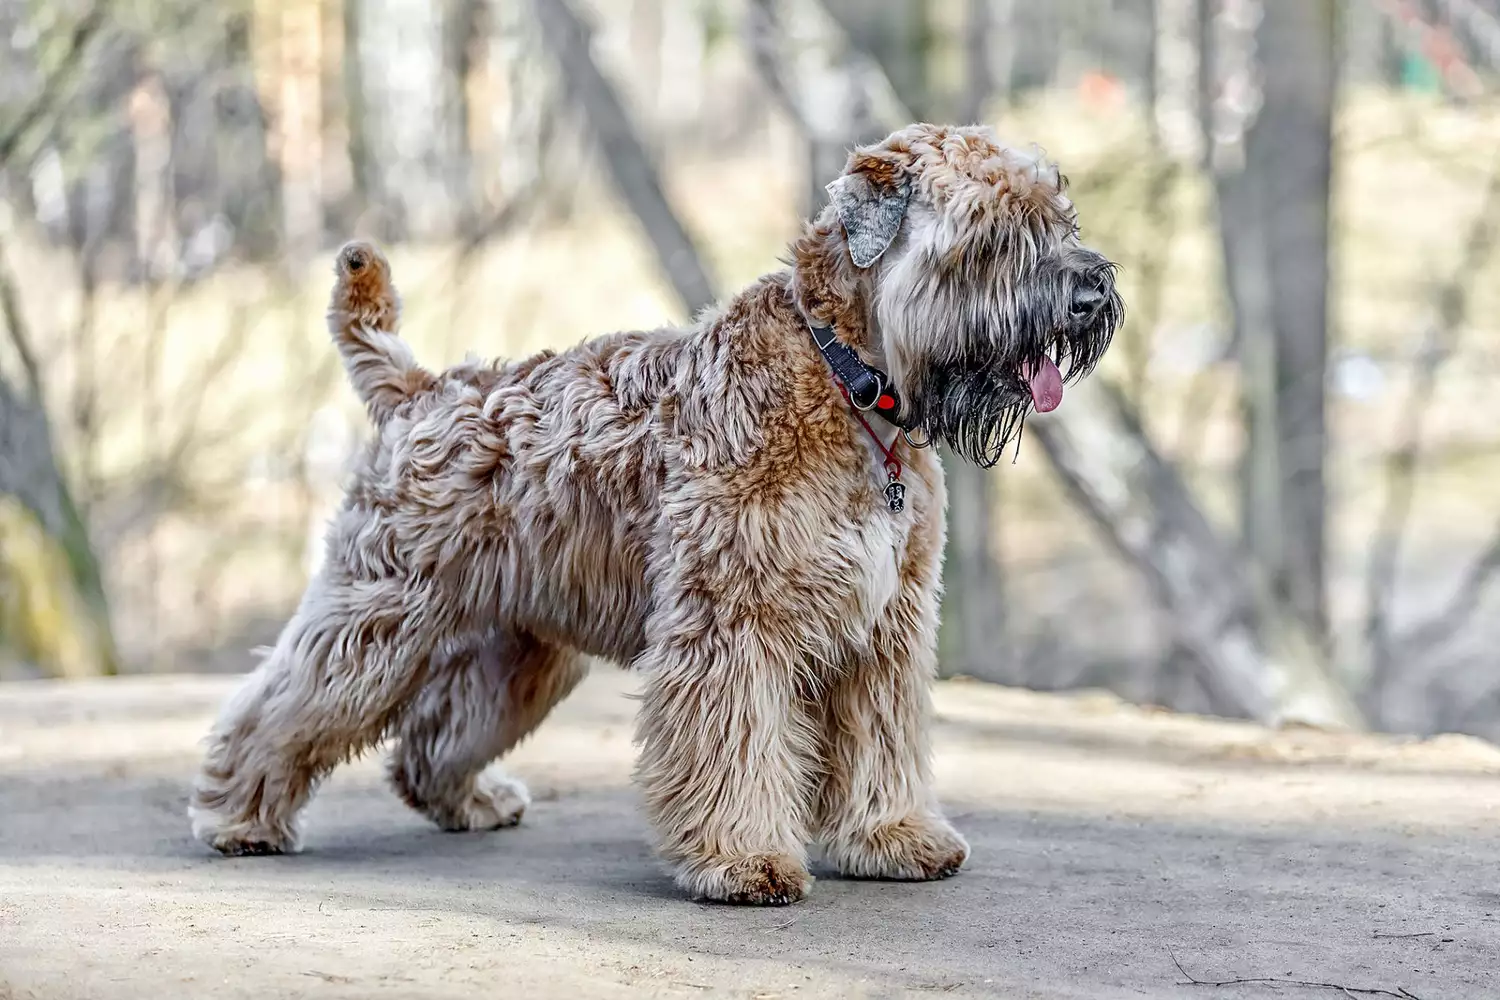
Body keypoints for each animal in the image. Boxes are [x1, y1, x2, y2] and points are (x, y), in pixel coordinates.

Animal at [187, 125, 1122, 905]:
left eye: (1058, 215)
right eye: (992, 233)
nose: (1092, 290)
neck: (849, 385)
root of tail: (420, 388)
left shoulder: (883, 630)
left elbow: (879, 743)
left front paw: (891, 836)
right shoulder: (733, 624)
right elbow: (734, 747)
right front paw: (743, 861)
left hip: (519, 651)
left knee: (433, 737)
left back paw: (470, 799)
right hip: (379, 617)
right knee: (283, 706)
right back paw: (237, 816)